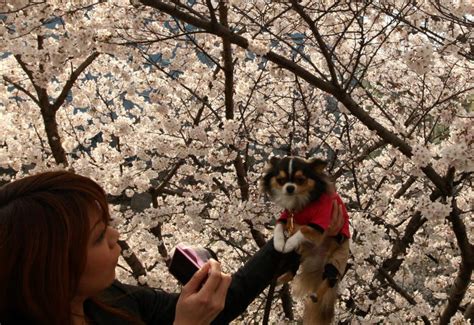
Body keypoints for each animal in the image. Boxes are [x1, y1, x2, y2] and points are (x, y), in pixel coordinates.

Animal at [262, 156, 350, 322]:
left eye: (300, 180)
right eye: (281, 180)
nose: (290, 188)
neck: (300, 202)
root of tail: (318, 257)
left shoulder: (320, 223)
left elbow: (303, 229)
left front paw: (289, 242)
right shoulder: (287, 217)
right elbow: (278, 227)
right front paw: (279, 243)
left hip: (335, 260)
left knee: (329, 280)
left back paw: (316, 295)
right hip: (298, 256)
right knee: (291, 273)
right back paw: (279, 279)